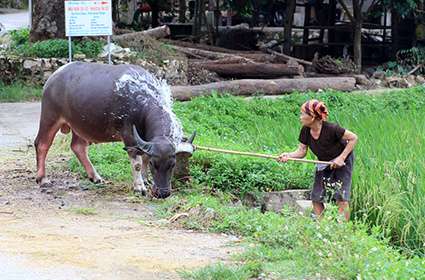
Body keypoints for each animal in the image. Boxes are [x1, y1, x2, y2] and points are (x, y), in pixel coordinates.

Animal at [35, 62, 194, 198]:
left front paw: (145, 180)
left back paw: (95, 177)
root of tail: (53, 77)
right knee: (42, 143)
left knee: (78, 147)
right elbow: (137, 163)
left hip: (79, 125)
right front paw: (139, 187)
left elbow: (144, 157)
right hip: (50, 116)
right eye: (154, 164)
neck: (141, 102)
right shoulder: (129, 136)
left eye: (173, 164)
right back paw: (42, 178)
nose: (163, 193)